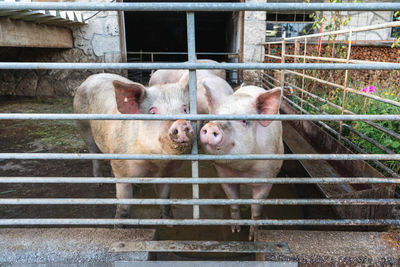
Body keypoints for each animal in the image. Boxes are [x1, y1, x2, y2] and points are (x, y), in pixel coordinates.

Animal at [75, 74, 195, 222]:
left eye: (185, 109)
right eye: (152, 111)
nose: (181, 123)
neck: (155, 164)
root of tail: (92, 77)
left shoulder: (168, 173)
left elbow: (166, 200)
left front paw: (170, 223)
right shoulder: (123, 169)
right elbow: (124, 208)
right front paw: (119, 224)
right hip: (83, 126)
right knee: (94, 154)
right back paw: (98, 183)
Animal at [198, 85, 282, 241]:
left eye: (244, 121)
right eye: (215, 115)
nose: (212, 126)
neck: (242, 171)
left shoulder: (266, 178)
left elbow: (256, 208)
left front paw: (252, 237)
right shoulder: (224, 176)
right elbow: (233, 201)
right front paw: (235, 231)